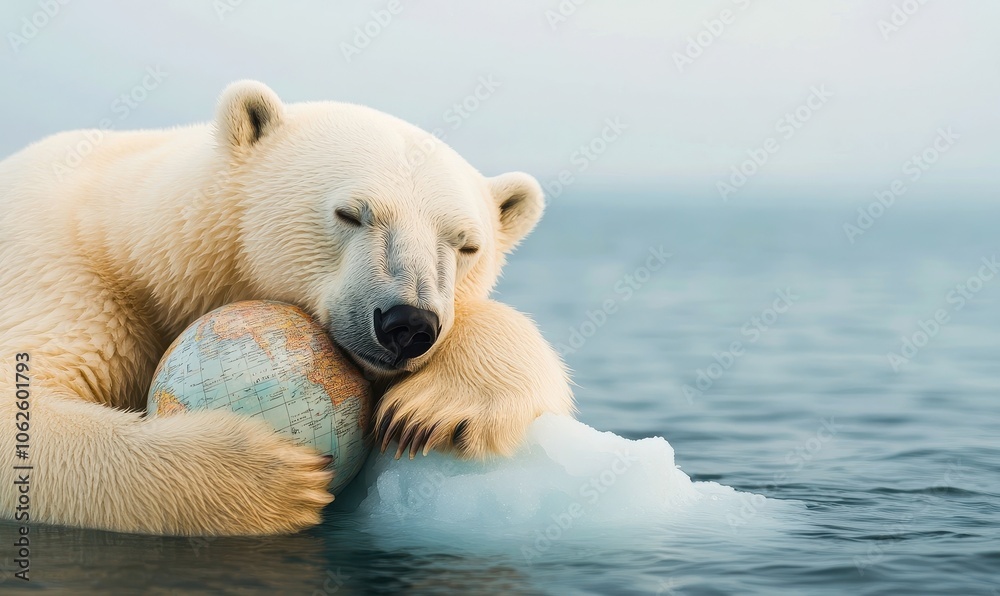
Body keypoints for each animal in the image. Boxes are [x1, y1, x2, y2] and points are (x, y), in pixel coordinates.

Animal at [0, 80, 573, 536]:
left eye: (466, 245)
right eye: (350, 213)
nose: (407, 324)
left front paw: (436, 412)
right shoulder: (65, 279)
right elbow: (23, 405)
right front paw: (268, 477)